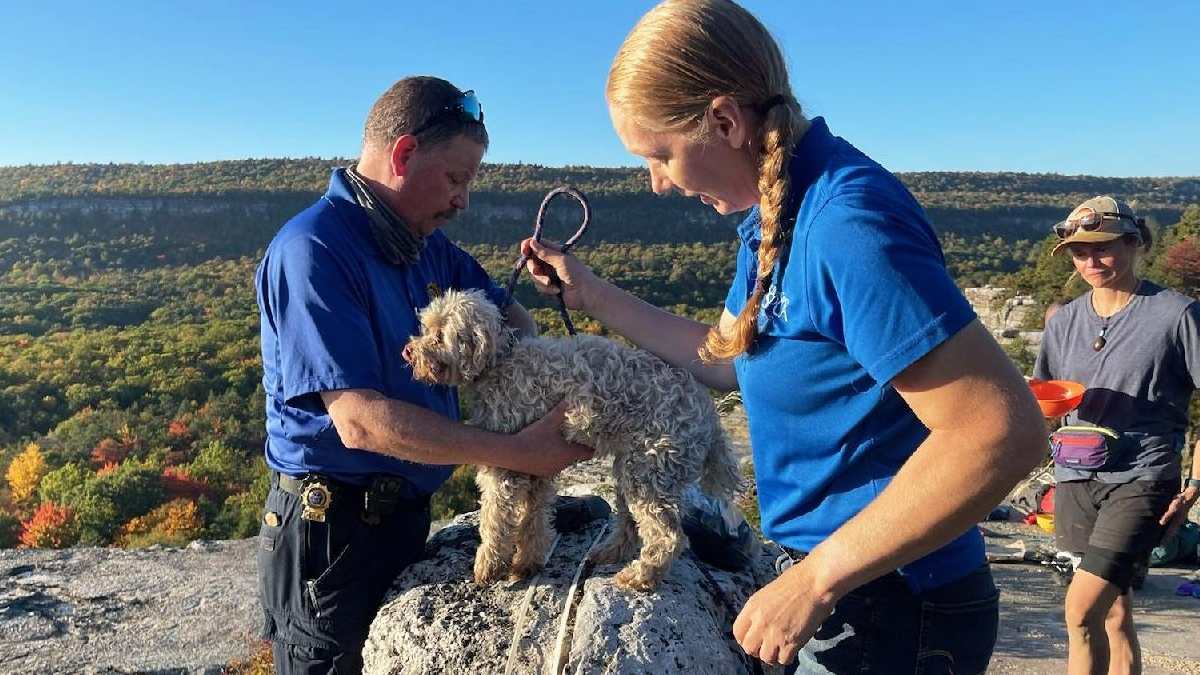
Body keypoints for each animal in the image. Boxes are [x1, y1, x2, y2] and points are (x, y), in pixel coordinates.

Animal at [405, 288, 739, 588]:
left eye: (439, 335)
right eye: (426, 328)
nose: (408, 351)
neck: (498, 362)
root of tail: (710, 418)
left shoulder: (504, 467)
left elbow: (495, 519)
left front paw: (488, 566)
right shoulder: (531, 464)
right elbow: (534, 518)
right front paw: (527, 564)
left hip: (651, 472)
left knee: (668, 537)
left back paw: (640, 577)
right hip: (633, 470)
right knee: (631, 524)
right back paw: (610, 553)